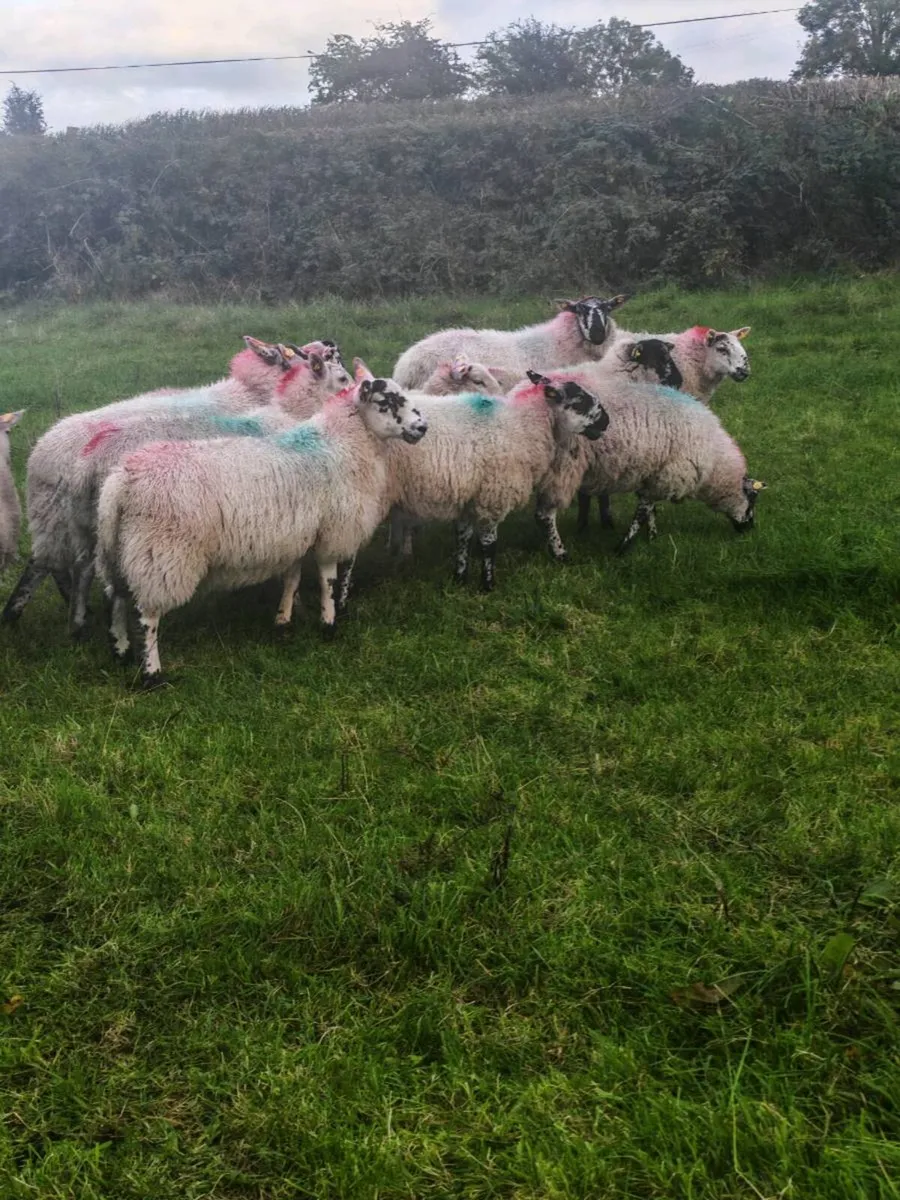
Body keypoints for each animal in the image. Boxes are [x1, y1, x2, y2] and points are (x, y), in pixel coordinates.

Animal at [2, 347, 350, 635]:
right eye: (339, 373)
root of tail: (44, 455)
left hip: (64, 520)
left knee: (56, 564)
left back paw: (62, 618)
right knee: (56, 566)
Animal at [95, 364, 428, 686]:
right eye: (386, 402)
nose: (422, 427)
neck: (341, 443)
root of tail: (122, 481)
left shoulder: (297, 536)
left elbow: (292, 579)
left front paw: (282, 621)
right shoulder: (332, 533)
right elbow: (328, 582)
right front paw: (329, 625)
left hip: (121, 551)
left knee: (116, 599)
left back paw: (121, 652)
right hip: (161, 556)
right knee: (147, 616)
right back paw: (152, 674)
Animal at [379, 370, 609, 593]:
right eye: (579, 401)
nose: (606, 420)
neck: (522, 425)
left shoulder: (468, 496)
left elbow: (462, 538)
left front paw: (460, 579)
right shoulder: (493, 497)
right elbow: (489, 544)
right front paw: (487, 585)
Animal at [534, 378, 764, 561]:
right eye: (752, 499)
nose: (750, 530)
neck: (714, 463)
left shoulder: (654, 476)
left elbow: (650, 509)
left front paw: (652, 537)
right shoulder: (667, 476)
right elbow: (642, 513)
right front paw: (622, 548)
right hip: (563, 469)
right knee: (545, 515)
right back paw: (560, 554)